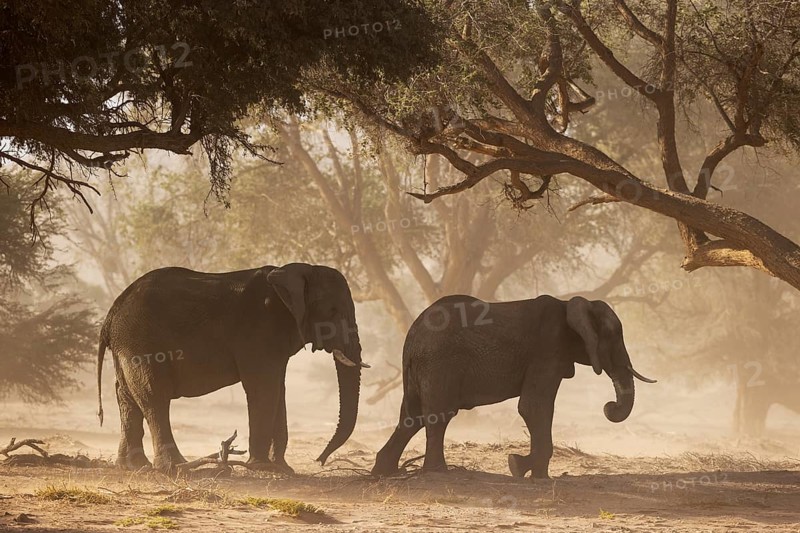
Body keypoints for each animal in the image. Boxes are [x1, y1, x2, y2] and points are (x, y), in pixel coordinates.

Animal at [96, 263, 368, 472]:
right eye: (332, 310)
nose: (319, 460)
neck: (295, 272)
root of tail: (111, 315)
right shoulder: (259, 329)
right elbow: (263, 388)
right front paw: (262, 467)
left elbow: (277, 389)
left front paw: (282, 469)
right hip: (140, 344)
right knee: (155, 398)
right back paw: (175, 467)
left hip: (127, 347)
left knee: (127, 399)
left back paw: (133, 466)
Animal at [371, 294, 655, 479]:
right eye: (614, 337)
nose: (609, 406)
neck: (570, 306)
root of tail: (411, 337)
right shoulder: (548, 349)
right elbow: (534, 407)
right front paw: (520, 467)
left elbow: (536, 407)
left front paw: (533, 473)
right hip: (439, 364)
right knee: (438, 416)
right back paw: (438, 472)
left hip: (421, 369)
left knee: (411, 418)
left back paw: (384, 471)